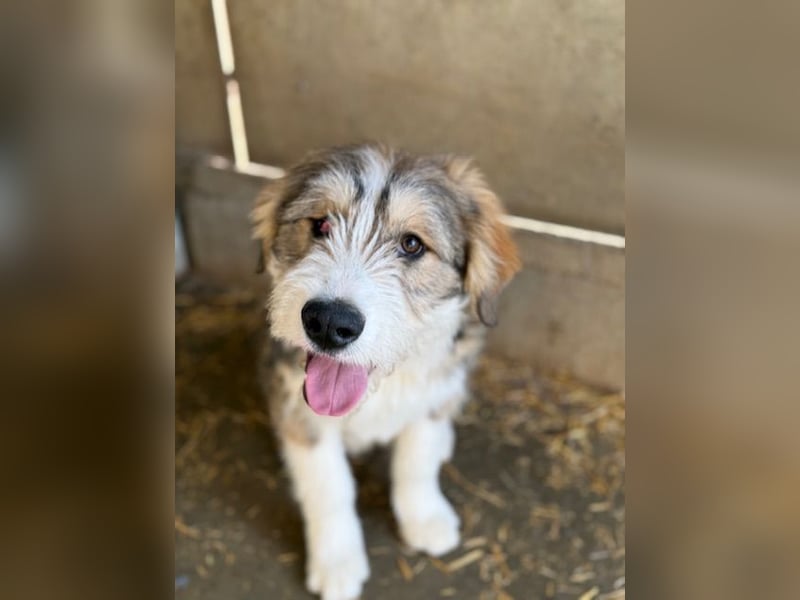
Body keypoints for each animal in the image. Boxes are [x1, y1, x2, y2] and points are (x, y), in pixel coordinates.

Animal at [252, 143, 520, 600]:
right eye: (320, 224)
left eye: (411, 244)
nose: (328, 322)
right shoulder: (298, 412)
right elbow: (329, 486)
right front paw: (337, 560)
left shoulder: (434, 396)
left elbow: (417, 461)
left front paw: (425, 519)